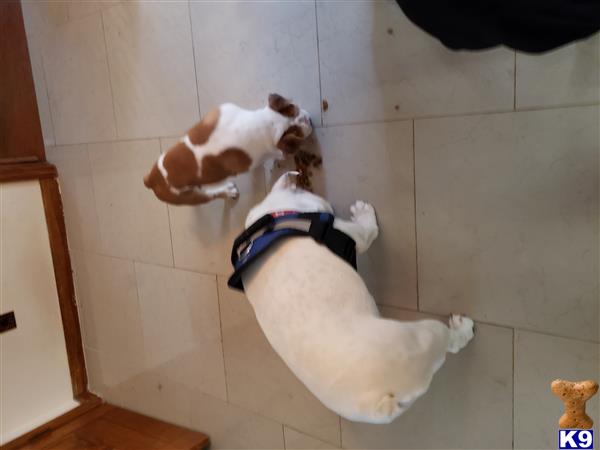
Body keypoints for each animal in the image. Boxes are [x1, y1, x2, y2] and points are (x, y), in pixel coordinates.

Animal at [145, 95, 312, 207]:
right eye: (298, 133)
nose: (309, 120)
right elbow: (276, 153)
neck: (264, 123)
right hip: (191, 198)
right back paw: (229, 192)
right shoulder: (257, 157)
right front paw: (282, 156)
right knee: (211, 195)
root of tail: (151, 181)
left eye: (294, 107)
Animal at [237, 171, 476, 424]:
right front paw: (363, 212)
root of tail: (377, 401)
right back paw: (462, 329)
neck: (273, 218)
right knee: (452, 343)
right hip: (425, 334)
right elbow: (369, 229)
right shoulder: (355, 235)